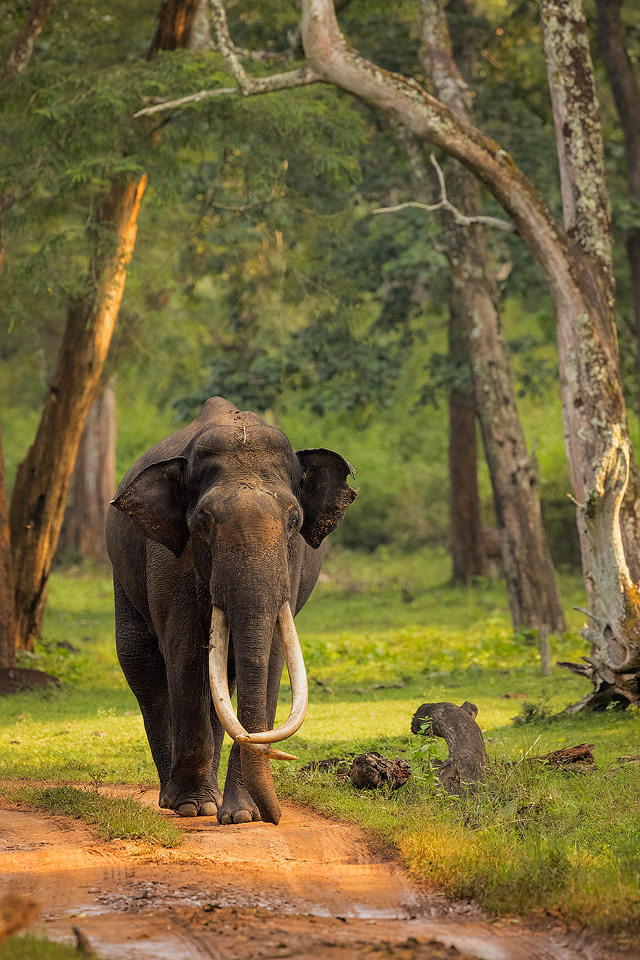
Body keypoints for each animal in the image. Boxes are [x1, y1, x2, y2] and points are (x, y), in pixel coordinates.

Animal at [105, 398, 356, 824]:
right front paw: (193, 807)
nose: (276, 817)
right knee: (141, 663)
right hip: (121, 574)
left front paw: (242, 816)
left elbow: (269, 660)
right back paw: (175, 800)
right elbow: (187, 653)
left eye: (294, 521)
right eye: (202, 523)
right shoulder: (169, 559)